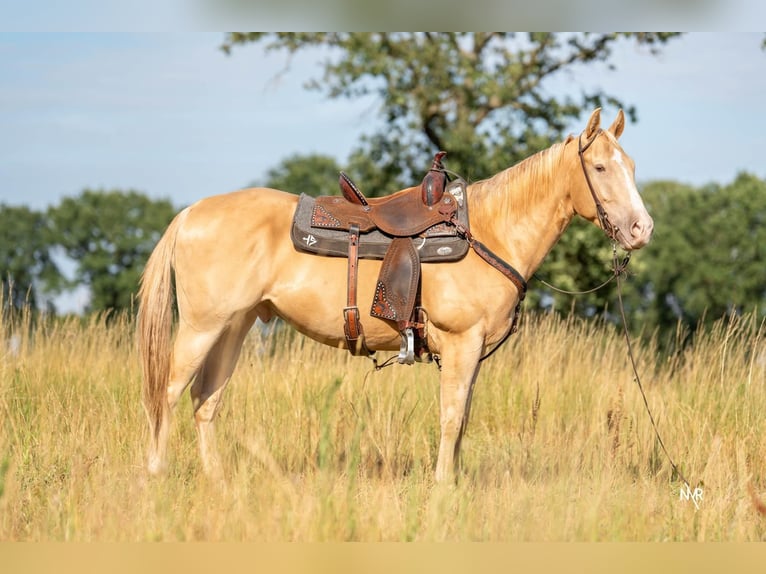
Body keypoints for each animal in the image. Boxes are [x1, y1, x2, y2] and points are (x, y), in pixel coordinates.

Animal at [138, 108, 654, 483]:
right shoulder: (462, 344)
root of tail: (190, 214)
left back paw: (217, 481)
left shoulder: (473, 353)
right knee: (168, 392)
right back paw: (156, 474)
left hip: (235, 325)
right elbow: (451, 418)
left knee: (206, 399)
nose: (641, 230)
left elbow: (463, 418)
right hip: (202, 327)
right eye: (600, 167)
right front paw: (443, 487)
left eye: (632, 166)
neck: (489, 232)